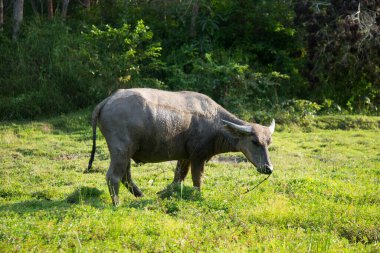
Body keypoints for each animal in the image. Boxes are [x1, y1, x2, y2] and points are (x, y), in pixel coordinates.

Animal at [87, 88, 274, 205]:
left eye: (268, 142)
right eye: (255, 142)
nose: (268, 168)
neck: (216, 124)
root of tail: (107, 101)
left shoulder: (185, 156)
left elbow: (178, 177)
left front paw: (165, 193)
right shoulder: (198, 156)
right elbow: (197, 178)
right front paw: (198, 196)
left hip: (127, 152)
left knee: (126, 176)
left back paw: (140, 195)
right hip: (120, 150)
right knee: (113, 176)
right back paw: (117, 203)